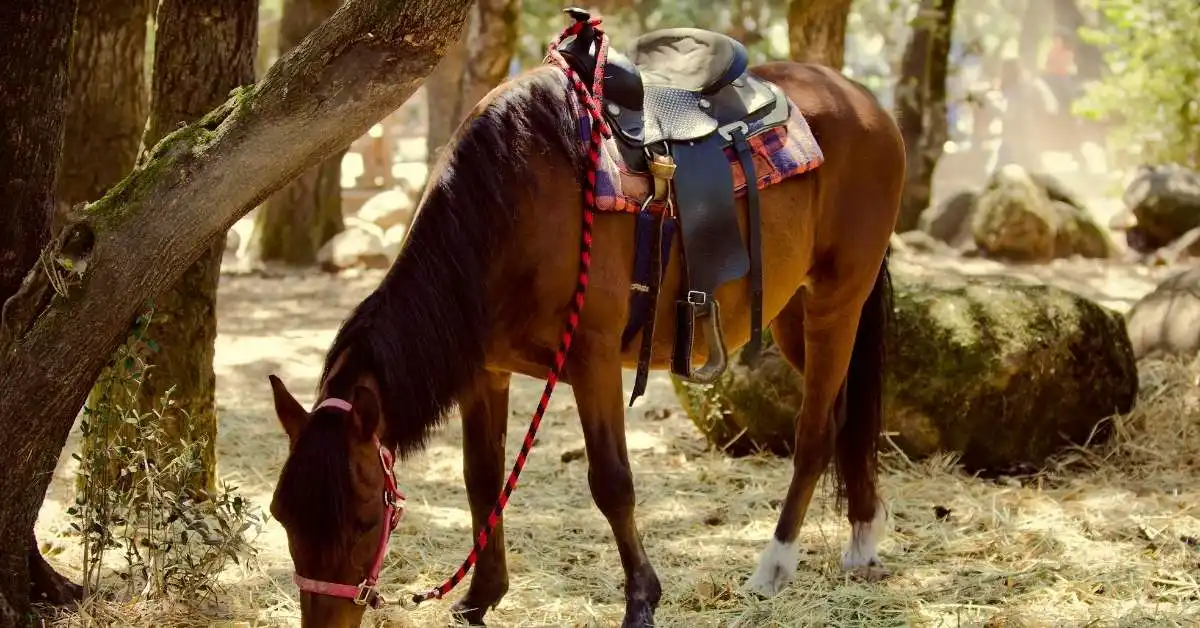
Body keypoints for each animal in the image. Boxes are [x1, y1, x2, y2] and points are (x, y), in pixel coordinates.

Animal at [266, 16, 903, 628]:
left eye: (364, 518)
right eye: (281, 516)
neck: (509, 204)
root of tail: (863, 100)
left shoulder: (592, 359)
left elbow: (612, 481)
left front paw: (642, 600)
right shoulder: (485, 371)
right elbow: (482, 478)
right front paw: (480, 596)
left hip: (837, 301)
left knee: (814, 431)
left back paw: (774, 566)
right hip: (795, 314)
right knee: (845, 417)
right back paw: (863, 538)